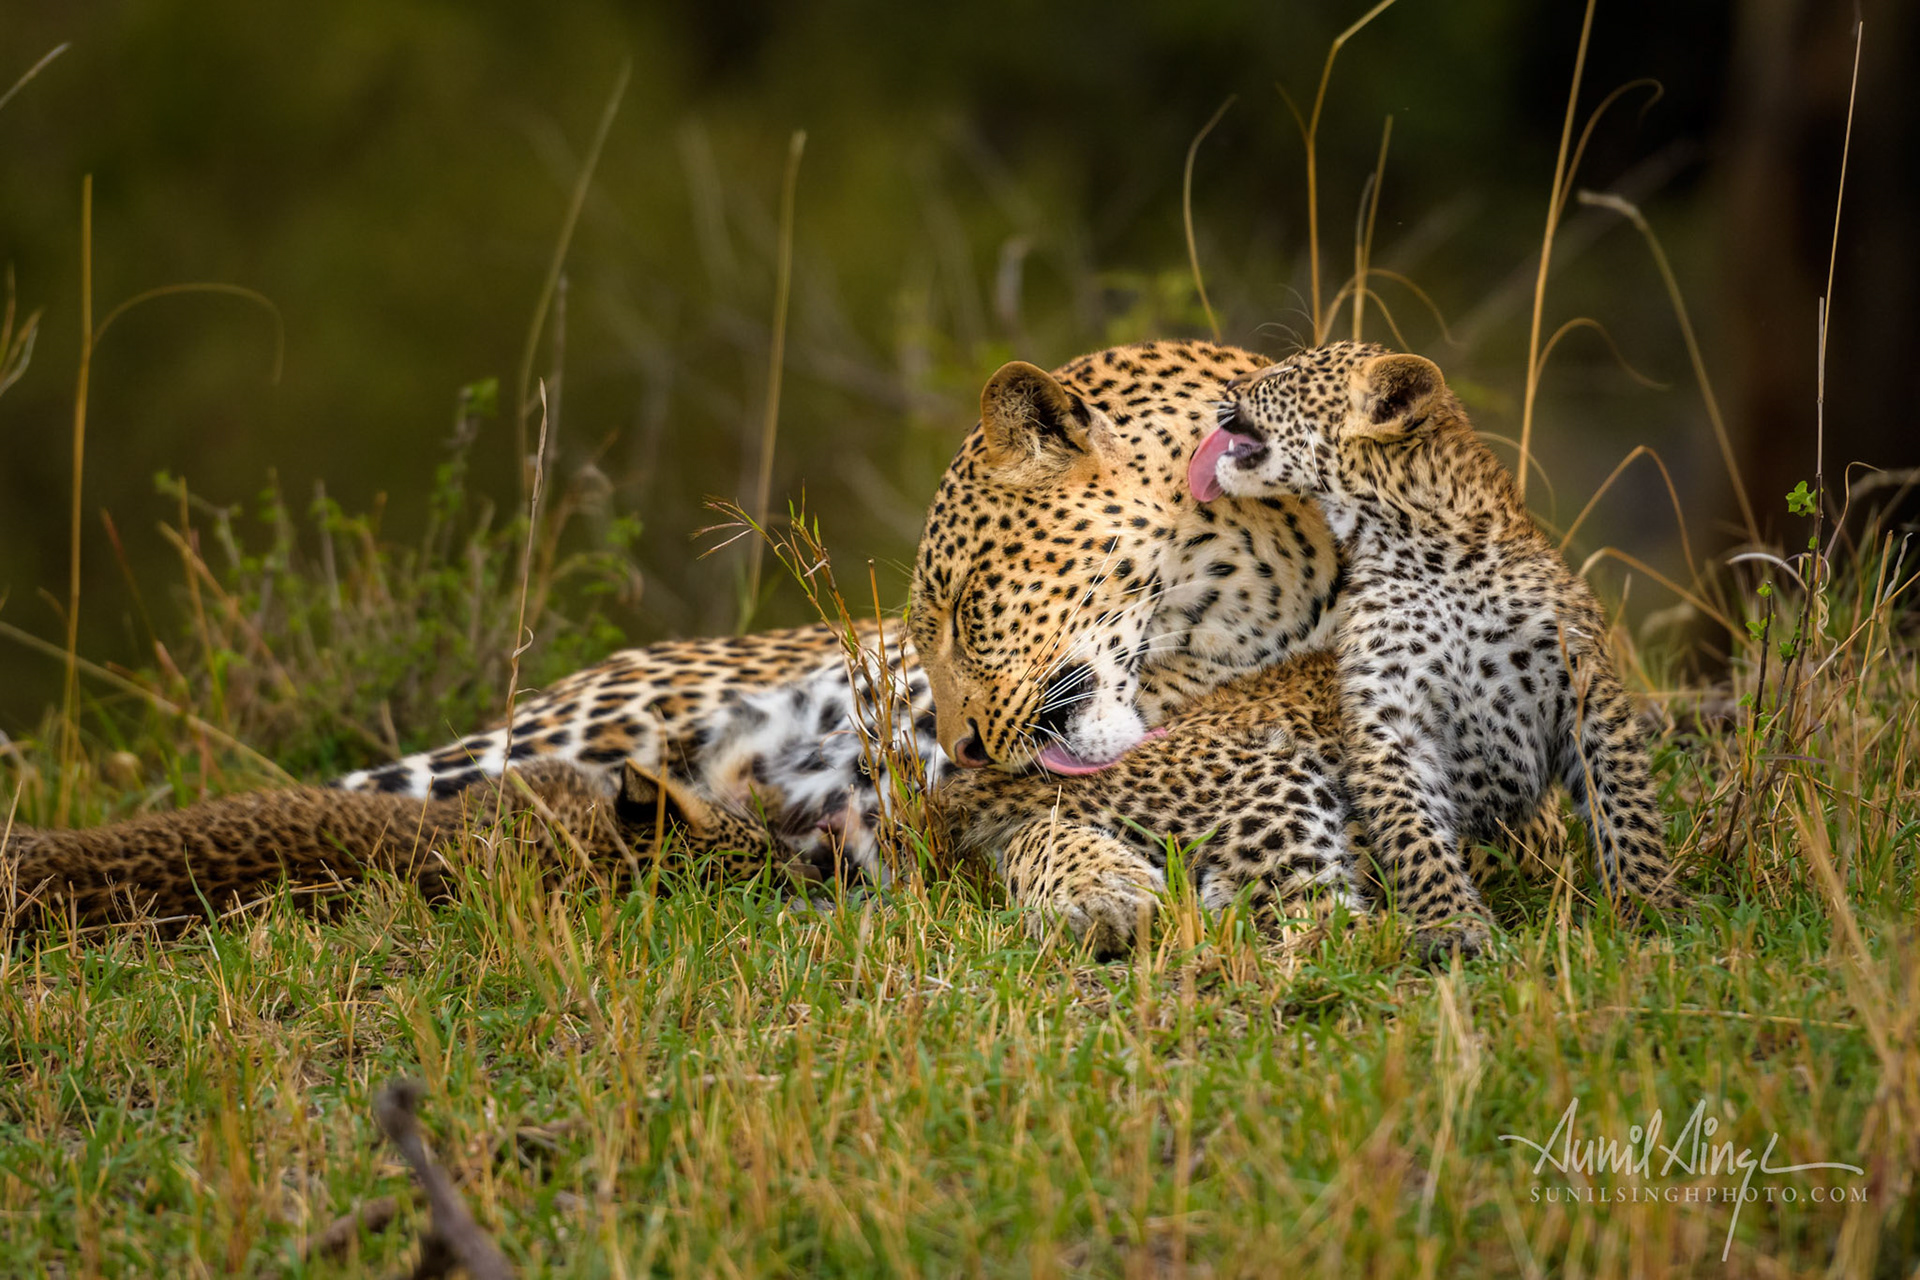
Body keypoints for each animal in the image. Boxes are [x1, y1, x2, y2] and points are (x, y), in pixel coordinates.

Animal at [1188, 340, 1688, 955]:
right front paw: (1458, 923)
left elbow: (1625, 802)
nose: (1228, 386)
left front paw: (1652, 904)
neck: (1422, 549)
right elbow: (1414, 831)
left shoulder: (1586, 688)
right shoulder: (1389, 713)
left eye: (1286, 375)